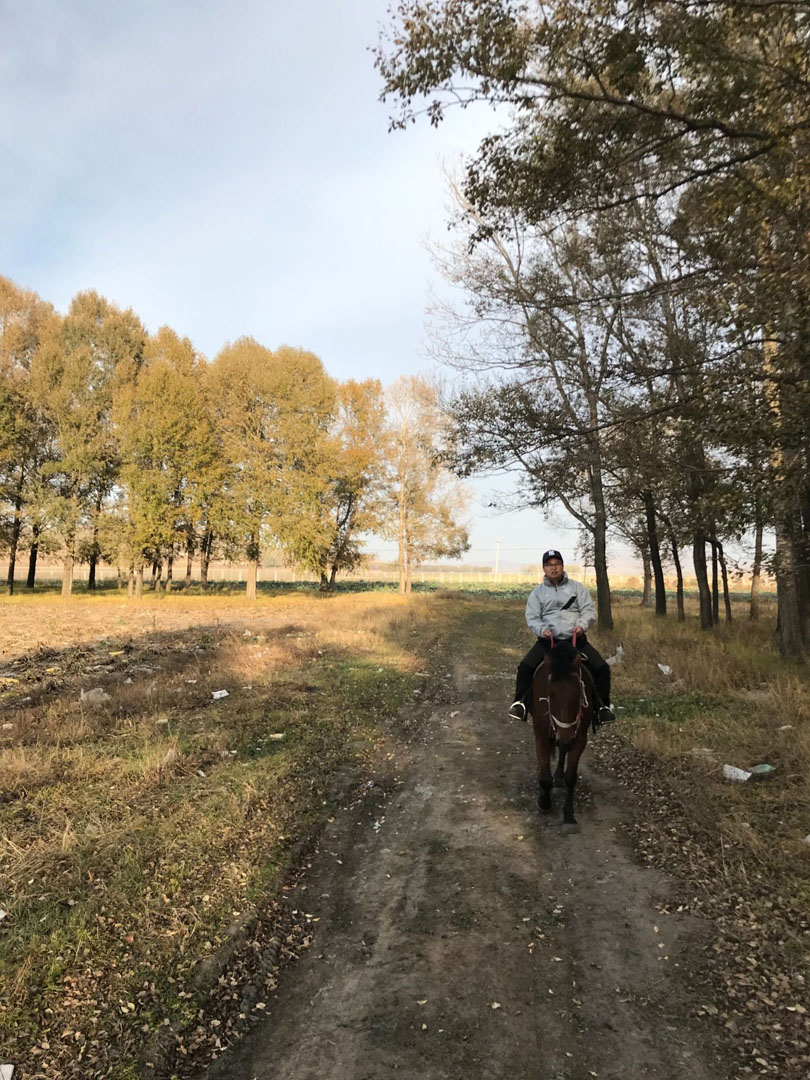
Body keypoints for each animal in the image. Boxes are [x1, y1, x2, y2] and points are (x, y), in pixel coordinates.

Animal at [533, 635, 596, 820]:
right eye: (549, 693)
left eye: (578, 694)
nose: (566, 737)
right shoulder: (541, 736)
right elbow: (545, 776)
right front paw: (544, 803)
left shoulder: (579, 738)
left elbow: (570, 777)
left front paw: (569, 815)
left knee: (562, 751)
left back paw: (559, 776)